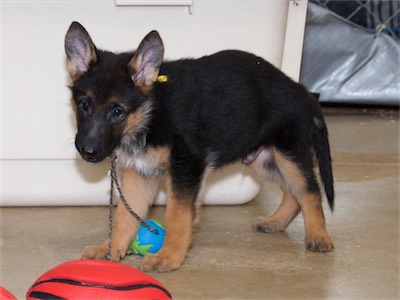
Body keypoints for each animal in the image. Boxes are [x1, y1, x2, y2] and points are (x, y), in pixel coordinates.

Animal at [65, 21, 334, 272]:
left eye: (117, 111)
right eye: (84, 105)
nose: (87, 151)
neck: (150, 113)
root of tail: (301, 90)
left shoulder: (187, 167)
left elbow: (177, 215)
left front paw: (169, 256)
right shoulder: (140, 173)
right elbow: (124, 215)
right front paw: (111, 249)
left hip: (288, 154)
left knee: (309, 189)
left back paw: (318, 235)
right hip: (264, 159)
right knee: (293, 192)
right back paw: (276, 222)